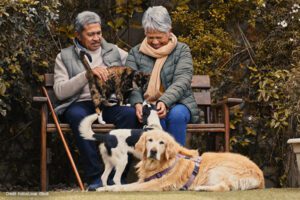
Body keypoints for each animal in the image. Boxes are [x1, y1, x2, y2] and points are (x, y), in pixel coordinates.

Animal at [97, 130, 264, 192]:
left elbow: (128, 187)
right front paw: (105, 188)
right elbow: (124, 185)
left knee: (225, 187)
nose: (153, 151)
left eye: (162, 143)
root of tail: (260, 176)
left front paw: (112, 189)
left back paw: (201, 188)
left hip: (217, 169)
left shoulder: (156, 183)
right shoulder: (143, 180)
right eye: (150, 140)